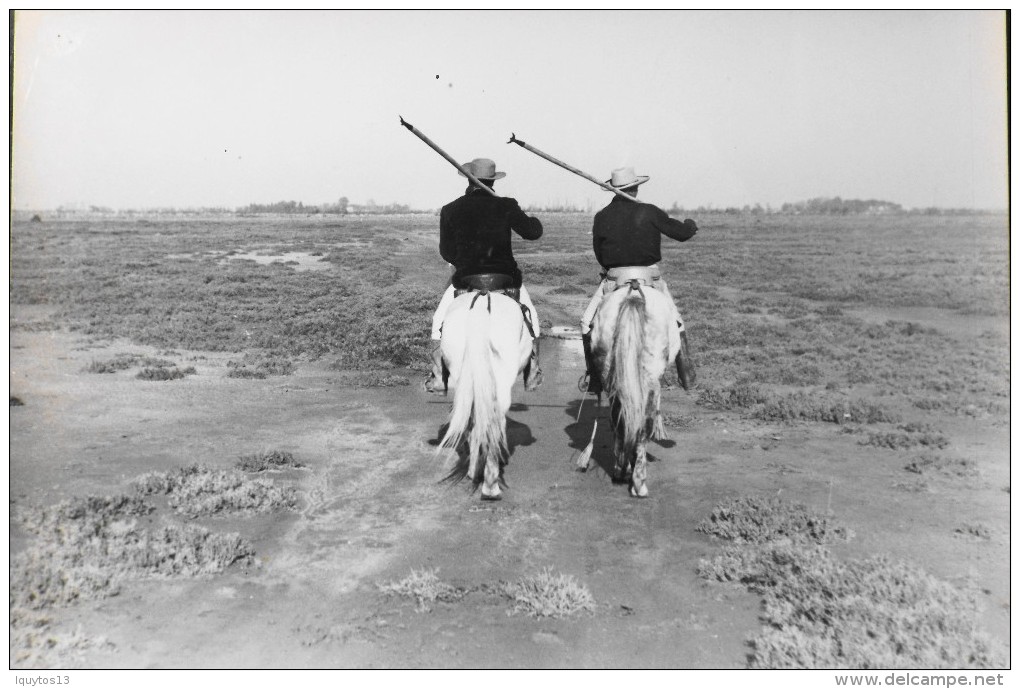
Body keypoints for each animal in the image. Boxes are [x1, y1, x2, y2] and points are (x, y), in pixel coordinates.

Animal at [436, 287, 534, 498]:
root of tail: (482, 298)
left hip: (464, 375)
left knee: (474, 420)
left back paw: (474, 471)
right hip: (501, 381)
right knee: (493, 421)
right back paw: (490, 483)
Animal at [587, 277, 681, 498]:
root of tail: (634, 294)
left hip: (610, 375)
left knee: (619, 420)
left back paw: (621, 471)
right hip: (649, 378)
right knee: (642, 425)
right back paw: (638, 482)